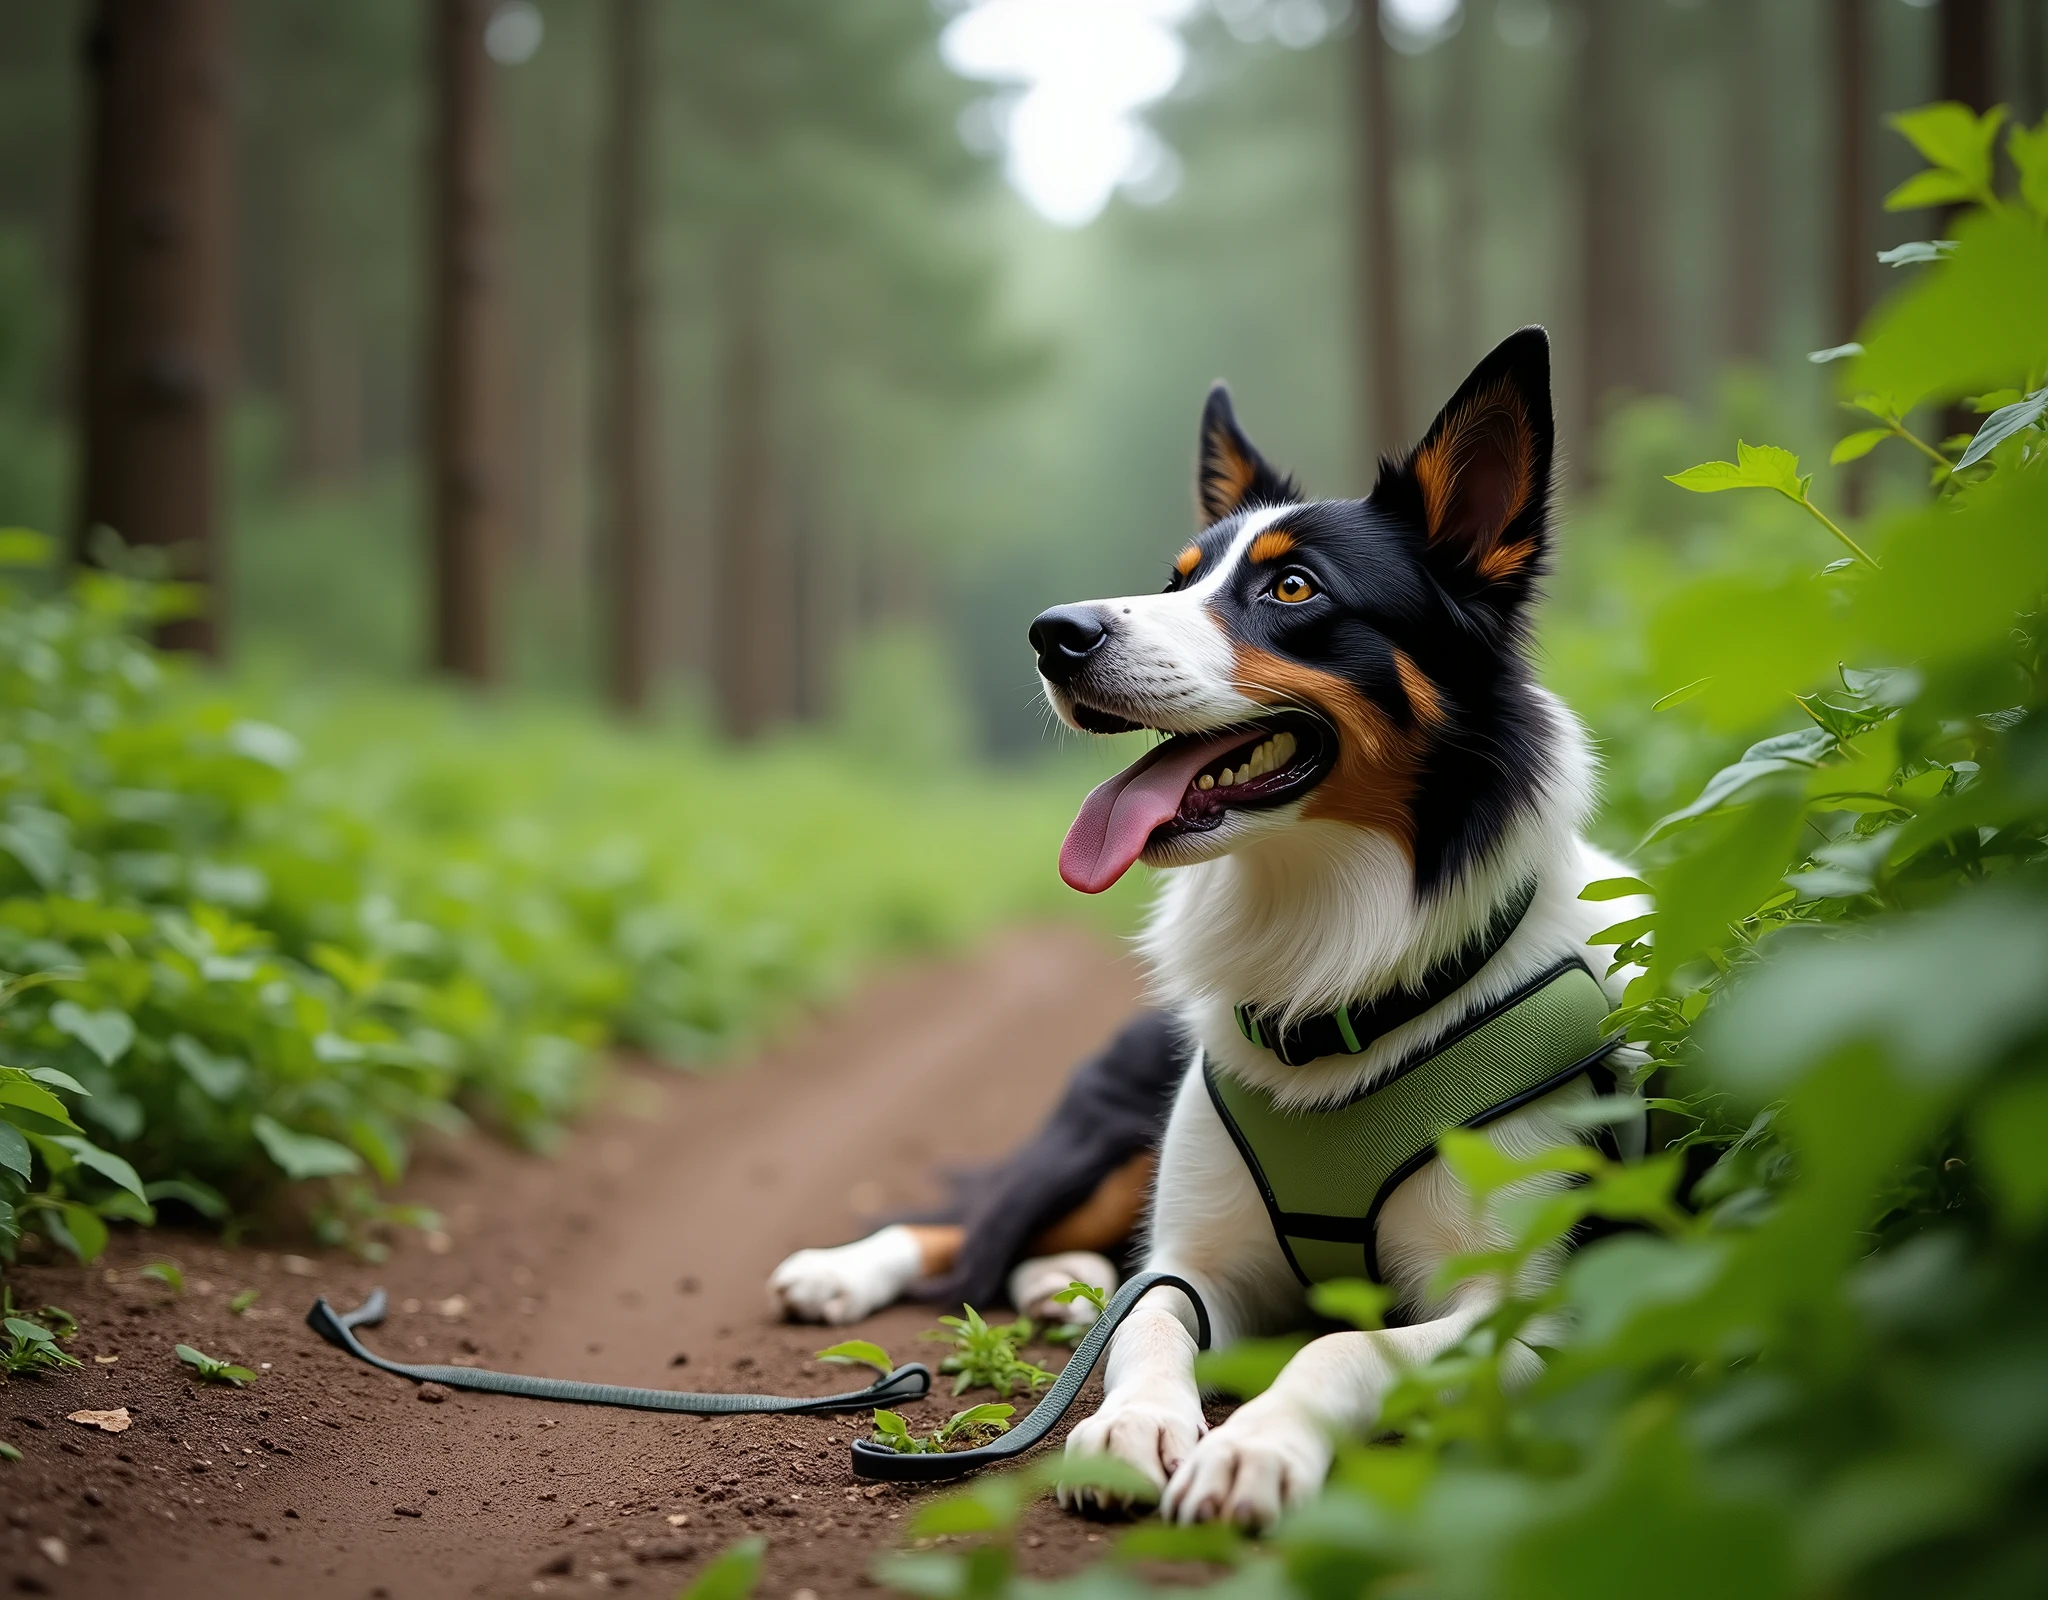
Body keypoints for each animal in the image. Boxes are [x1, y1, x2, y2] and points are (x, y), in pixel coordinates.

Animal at [770, 329, 1646, 1532]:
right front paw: (1129, 1425)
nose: (1053, 635)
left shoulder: (1531, 1311)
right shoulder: (1200, 1260)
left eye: (1292, 586)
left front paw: (1256, 1447)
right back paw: (856, 1268)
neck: (1336, 973)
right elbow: (1146, 1318)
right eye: (1176, 580)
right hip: (1103, 1137)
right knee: (983, 1224)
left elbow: (1344, 1345)